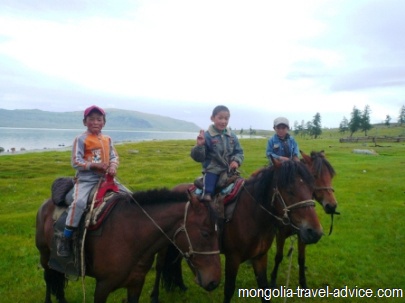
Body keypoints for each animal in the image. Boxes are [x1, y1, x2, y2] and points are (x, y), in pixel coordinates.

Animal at [35, 188, 221, 303]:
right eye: (205, 233)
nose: (214, 282)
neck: (131, 237)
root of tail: (46, 203)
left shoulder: (136, 285)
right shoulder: (102, 287)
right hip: (45, 256)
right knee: (48, 278)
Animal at [150, 158, 320, 302]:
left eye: (312, 189)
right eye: (289, 190)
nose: (315, 232)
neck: (252, 216)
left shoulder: (260, 257)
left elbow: (264, 289)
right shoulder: (233, 258)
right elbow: (229, 290)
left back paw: (181, 286)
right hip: (165, 246)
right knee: (160, 266)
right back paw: (155, 296)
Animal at [268, 150, 338, 290]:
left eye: (331, 175)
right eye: (315, 176)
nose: (332, 206)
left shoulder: (304, 234)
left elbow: (301, 259)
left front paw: (303, 283)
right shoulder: (280, 234)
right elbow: (278, 257)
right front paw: (272, 281)